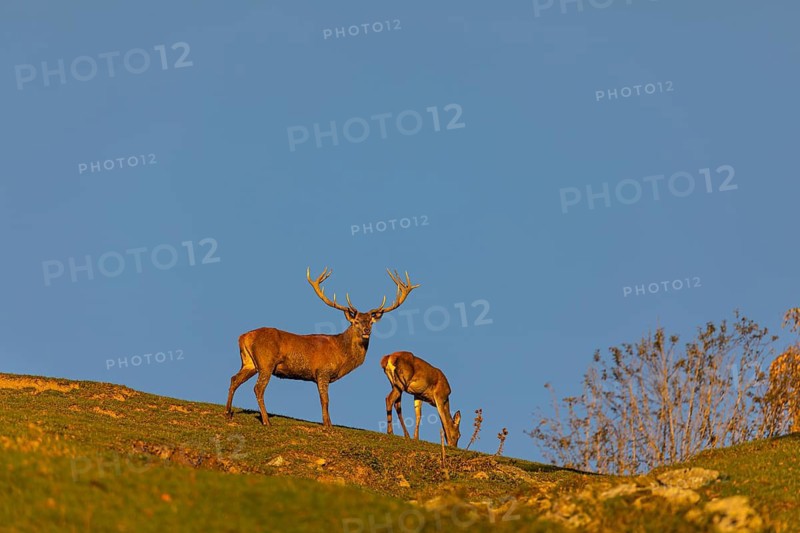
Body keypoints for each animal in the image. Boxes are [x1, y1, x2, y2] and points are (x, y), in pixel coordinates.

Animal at [225, 267, 419, 428]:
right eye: (356, 321)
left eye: (370, 322)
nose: (366, 331)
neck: (341, 354)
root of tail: (243, 337)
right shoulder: (322, 372)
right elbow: (325, 400)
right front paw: (328, 425)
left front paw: (328, 423)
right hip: (266, 362)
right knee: (258, 388)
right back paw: (266, 421)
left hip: (249, 363)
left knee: (234, 379)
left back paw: (228, 413)